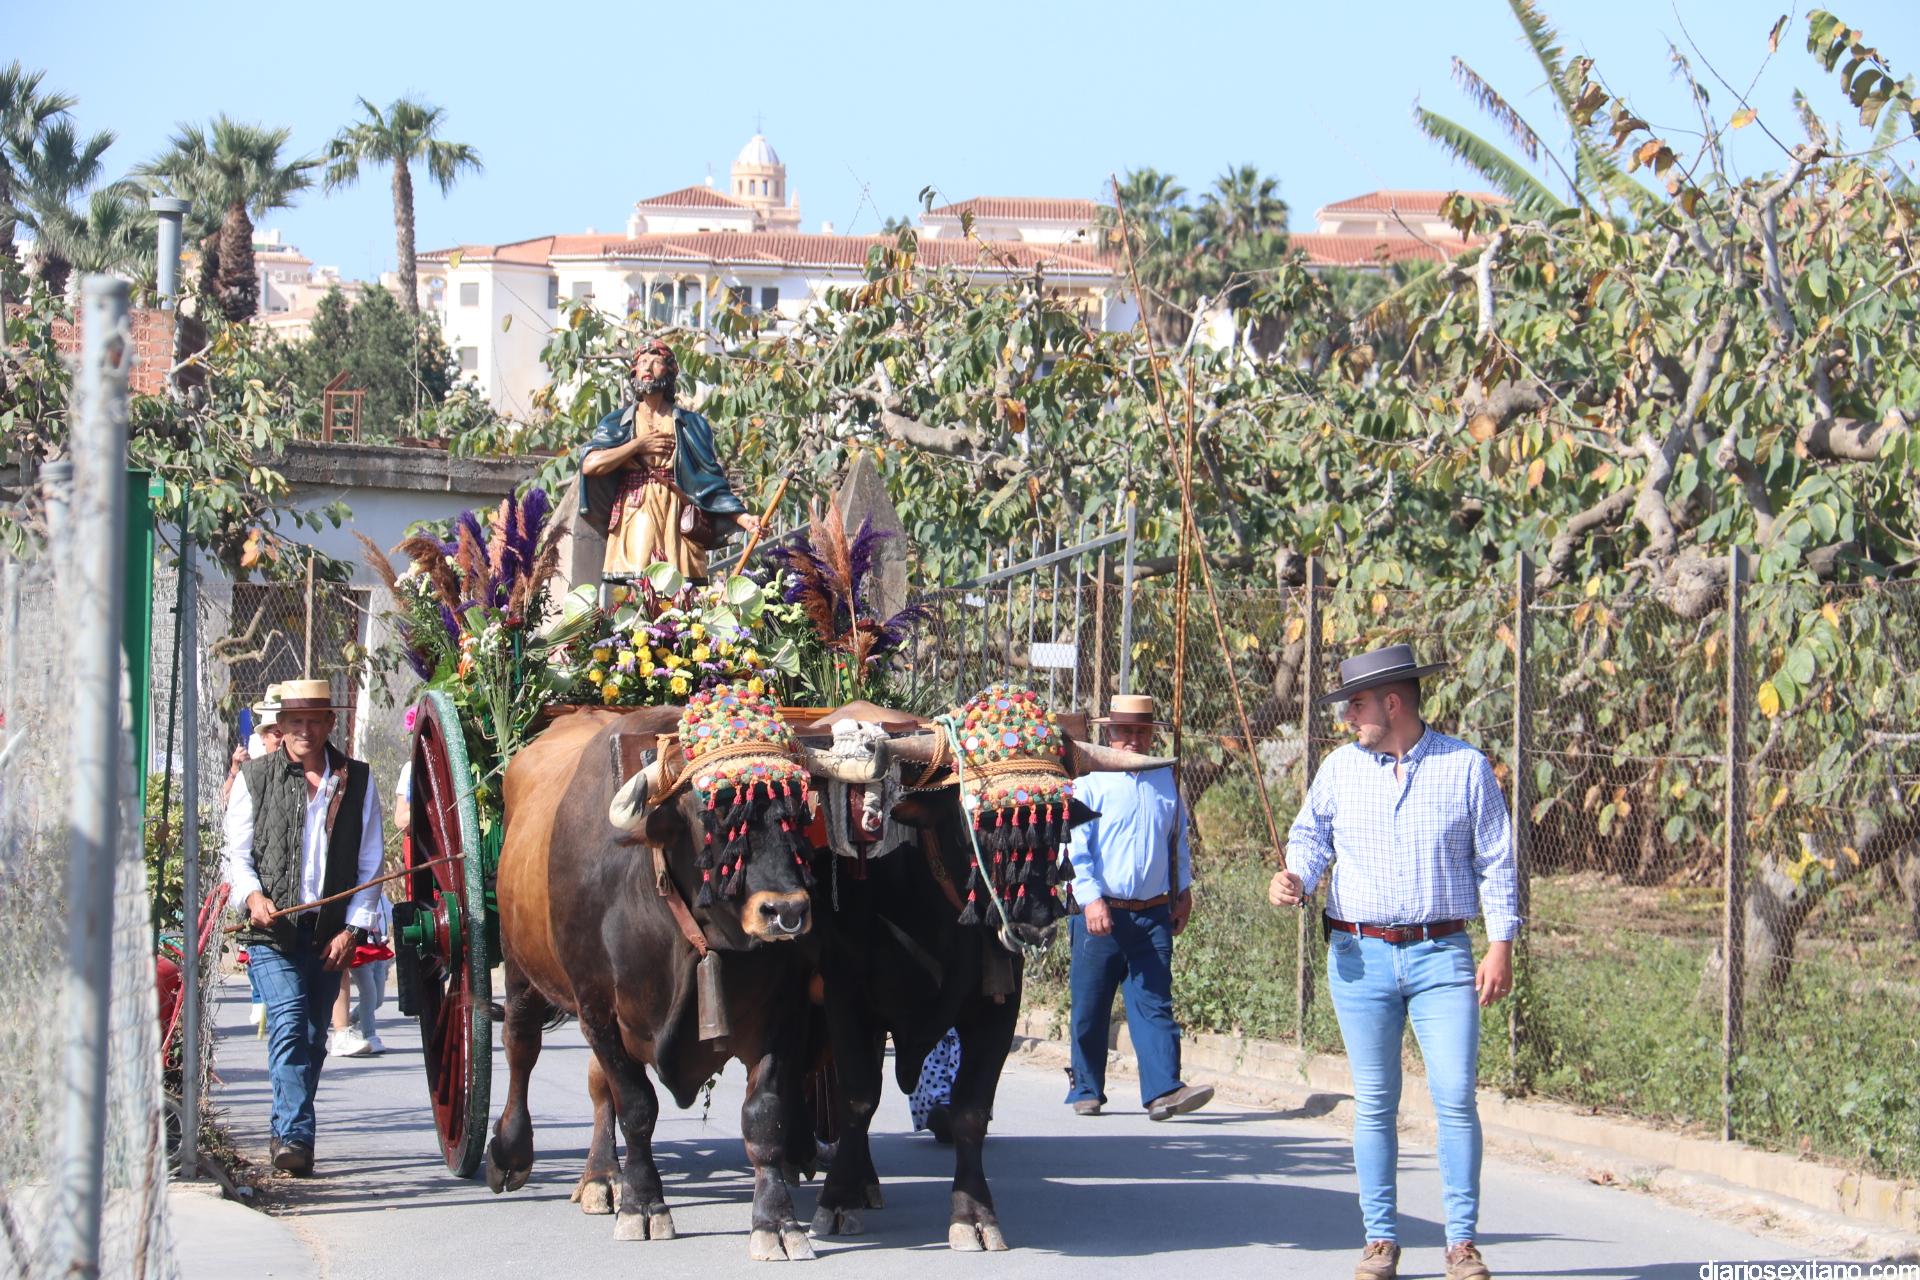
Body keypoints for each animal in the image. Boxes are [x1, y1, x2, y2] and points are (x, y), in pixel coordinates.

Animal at [481, 700, 826, 1261]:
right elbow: (638, 1107)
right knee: (520, 1046)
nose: (787, 912)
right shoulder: (598, 1008)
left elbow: (764, 1115)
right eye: (712, 815)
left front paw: (776, 1221)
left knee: (596, 1085)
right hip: (519, 965)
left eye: (797, 812)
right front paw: (644, 1206)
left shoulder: (782, 1012)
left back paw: (601, 1176)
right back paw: (513, 1153)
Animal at [799, 710, 1160, 1251]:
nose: (1034, 924)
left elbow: (971, 1110)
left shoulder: (998, 1010)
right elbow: (858, 1098)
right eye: (974, 819)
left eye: (1057, 825)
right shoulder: (848, 1003)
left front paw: (974, 1214)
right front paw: (837, 1200)